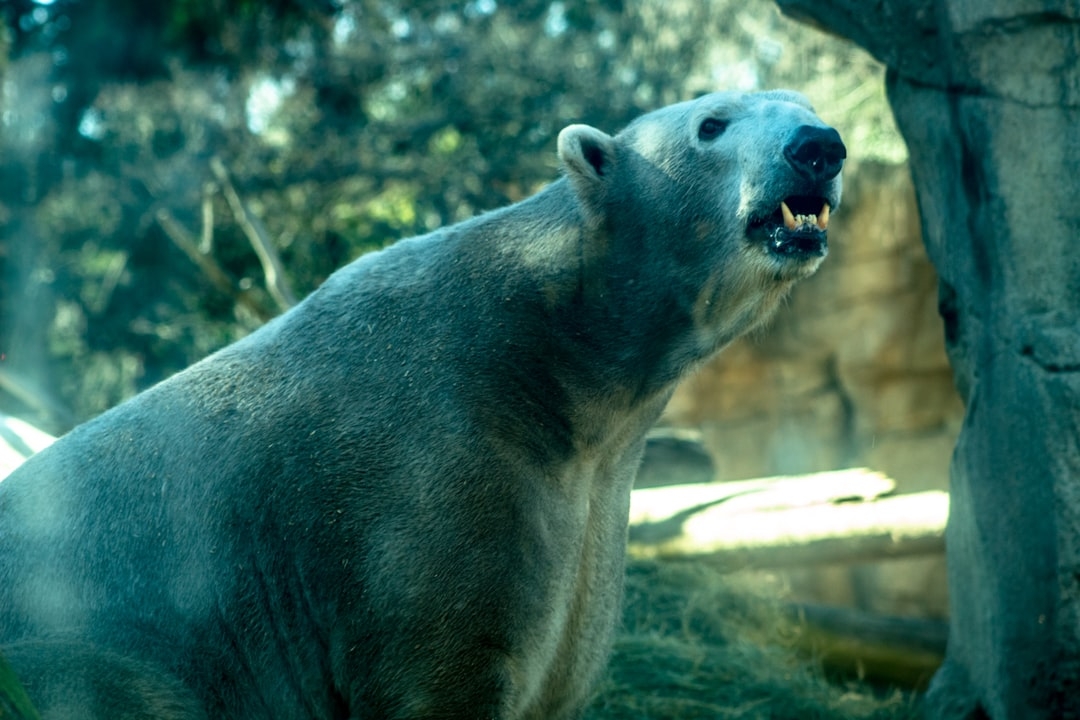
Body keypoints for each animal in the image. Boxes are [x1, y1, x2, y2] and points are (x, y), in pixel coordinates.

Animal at [0, 91, 842, 720]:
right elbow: (445, 662)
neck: (548, 359)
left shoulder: (589, 499)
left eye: (801, 103)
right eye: (712, 124)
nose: (820, 145)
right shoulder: (426, 479)